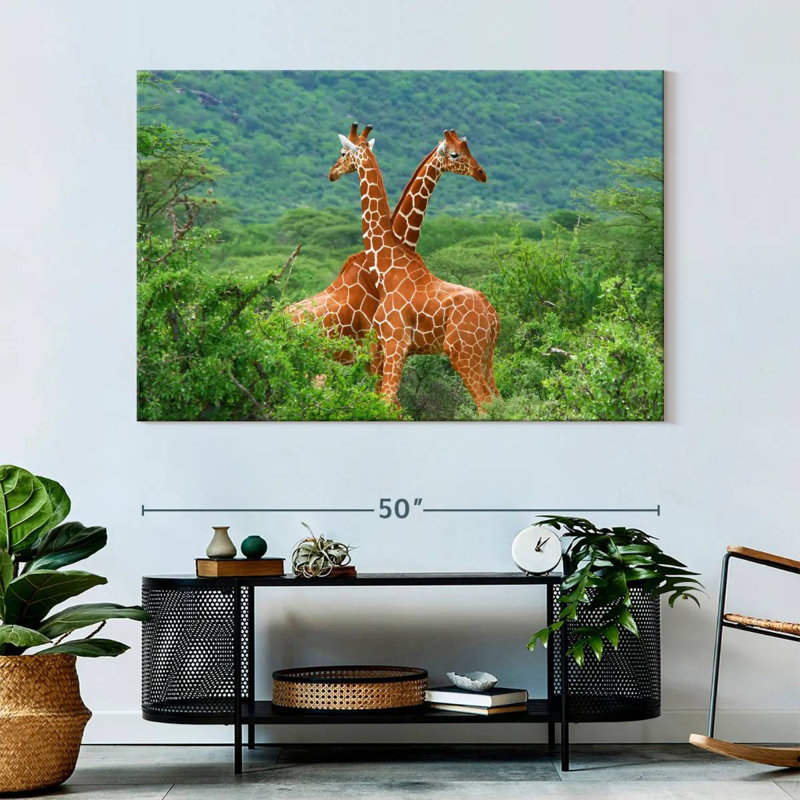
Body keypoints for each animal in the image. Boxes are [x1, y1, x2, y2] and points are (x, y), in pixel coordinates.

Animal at [328, 124, 500, 411]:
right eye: (456, 153)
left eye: (342, 153)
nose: (332, 172)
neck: (387, 266)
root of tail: (493, 317)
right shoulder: (388, 348)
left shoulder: (394, 343)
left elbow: (387, 403)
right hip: (486, 357)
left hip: (463, 353)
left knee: (486, 404)